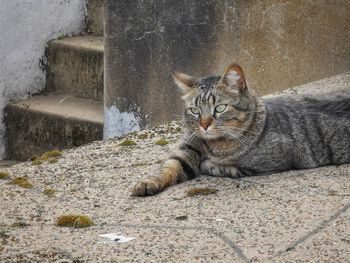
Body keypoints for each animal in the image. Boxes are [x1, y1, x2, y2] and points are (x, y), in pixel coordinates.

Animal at [132, 63, 350, 196]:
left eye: (220, 108)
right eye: (194, 110)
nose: (204, 124)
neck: (212, 144)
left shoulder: (268, 162)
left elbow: (222, 167)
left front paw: (210, 164)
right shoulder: (186, 151)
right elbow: (168, 167)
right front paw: (148, 182)